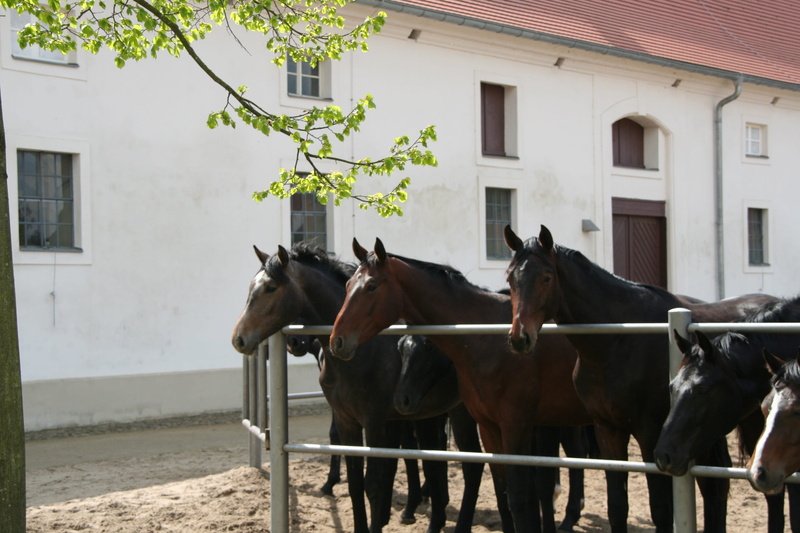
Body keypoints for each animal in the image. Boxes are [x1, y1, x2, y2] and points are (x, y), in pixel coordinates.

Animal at [231, 243, 483, 533]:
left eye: (271, 287)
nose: (239, 338)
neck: (361, 350)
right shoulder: (347, 420)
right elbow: (354, 483)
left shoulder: (375, 422)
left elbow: (373, 483)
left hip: (462, 413)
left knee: (472, 466)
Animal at [329, 238, 604, 533]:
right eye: (348, 285)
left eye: (371, 286)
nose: (337, 340)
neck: (486, 337)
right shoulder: (490, 427)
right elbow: (504, 491)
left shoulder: (516, 425)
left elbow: (521, 496)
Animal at [503, 224, 778, 533]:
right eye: (510, 277)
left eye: (547, 277)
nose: (520, 338)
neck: (618, 341)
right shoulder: (608, 430)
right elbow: (617, 507)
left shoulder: (651, 434)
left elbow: (660, 510)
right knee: (714, 489)